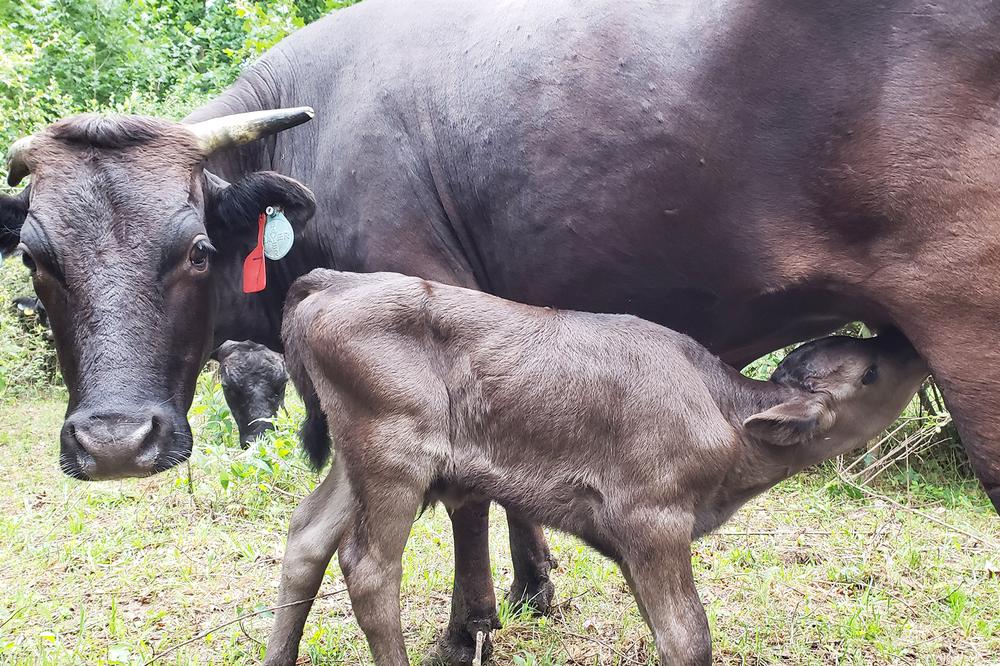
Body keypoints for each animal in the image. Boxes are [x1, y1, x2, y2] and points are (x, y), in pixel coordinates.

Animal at [265, 268, 930, 666]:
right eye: (870, 372)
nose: (905, 340)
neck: (721, 413)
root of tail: (332, 281)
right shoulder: (652, 518)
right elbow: (687, 636)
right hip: (394, 453)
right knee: (369, 569)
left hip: (355, 460)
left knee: (306, 537)